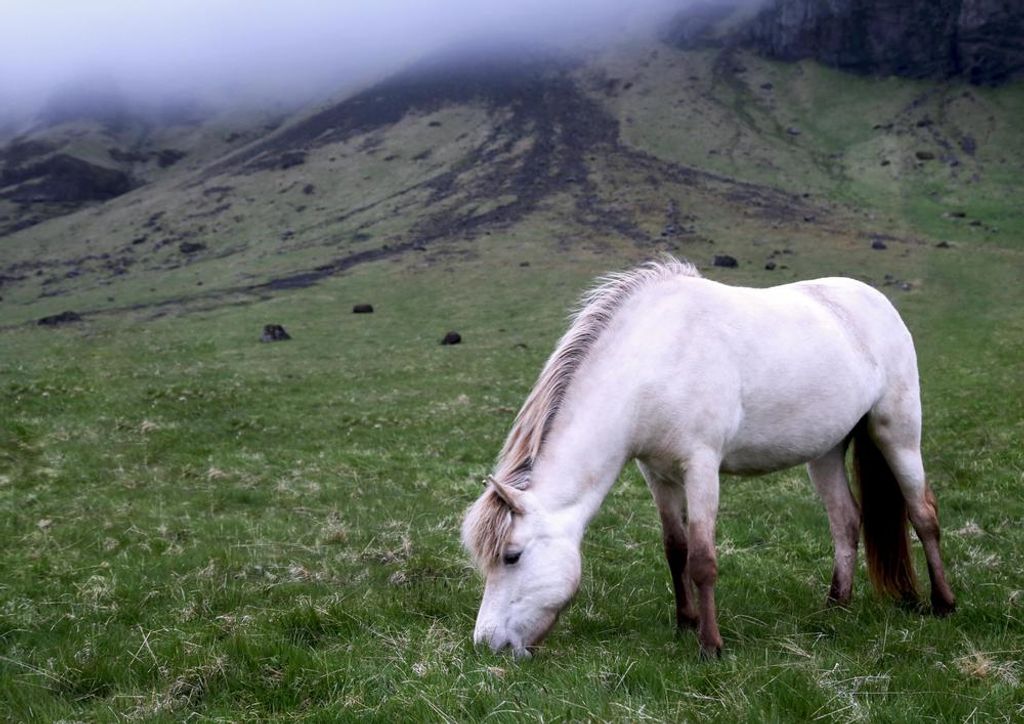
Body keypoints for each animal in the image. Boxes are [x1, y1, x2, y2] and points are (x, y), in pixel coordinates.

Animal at [462, 257, 955, 658]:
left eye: (511, 556)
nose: (487, 644)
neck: (653, 361)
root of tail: (875, 300)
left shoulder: (700, 466)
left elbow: (702, 559)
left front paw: (710, 645)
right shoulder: (656, 474)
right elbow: (675, 549)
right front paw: (685, 624)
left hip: (897, 432)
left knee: (922, 514)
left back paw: (943, 603)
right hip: (826, 451)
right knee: (846, 520)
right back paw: (836, 606)